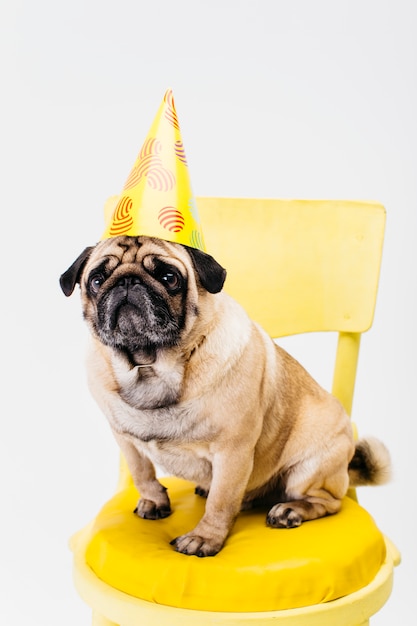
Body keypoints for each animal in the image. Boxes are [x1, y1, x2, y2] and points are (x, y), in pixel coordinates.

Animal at [59, 234, 390, 556]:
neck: (150, 368)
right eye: (97, 280)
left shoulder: (232, 451)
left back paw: (290, 510)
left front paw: (204, 539)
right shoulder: (125, 439)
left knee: (328, 501)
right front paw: (154, 501)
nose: (128, 281)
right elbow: (142, 473)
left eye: (169, 277)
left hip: (310, 468)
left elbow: (220, 502)